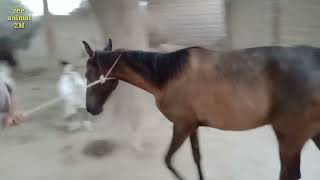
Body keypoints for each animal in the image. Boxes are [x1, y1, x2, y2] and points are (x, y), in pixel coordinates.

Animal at [81, 39, 320, 180]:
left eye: (87, 74)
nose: (91, 109)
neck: (166, 78)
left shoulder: (181, 125)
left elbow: (168, 161)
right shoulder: (193, 125)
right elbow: (197, 157)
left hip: (289, 140)